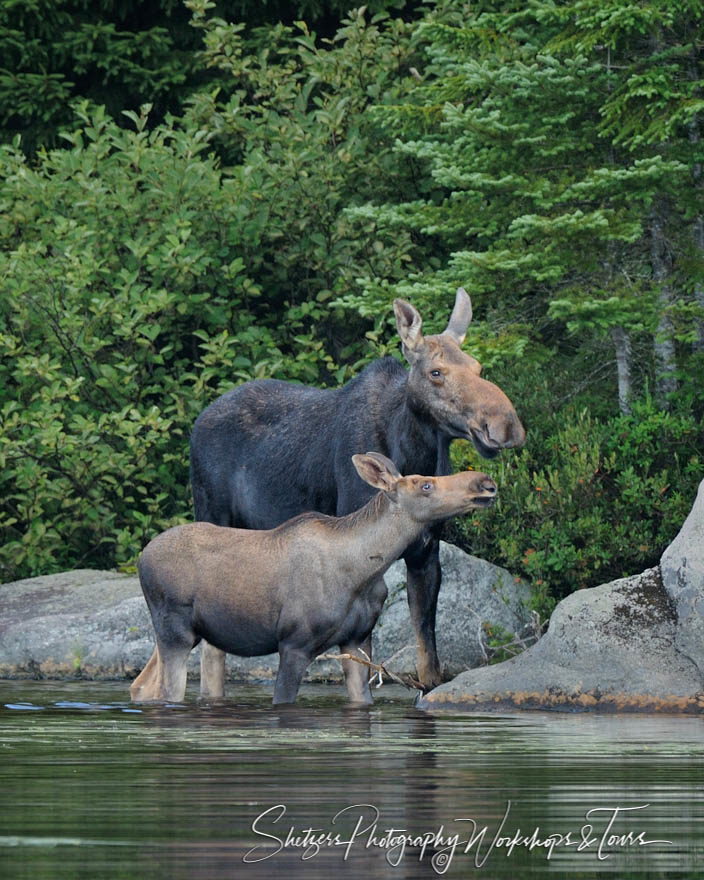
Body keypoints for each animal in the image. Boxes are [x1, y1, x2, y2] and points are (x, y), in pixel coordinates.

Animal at [132, 454, 496, 708]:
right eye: (426, 485)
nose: (486, 482)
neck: (362, 572)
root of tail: (140, 558)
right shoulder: (294, 643)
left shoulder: (357, 640)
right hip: (175, 630)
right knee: (165, 690)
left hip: (188, 633)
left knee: (142, 685)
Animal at [190, 288, 524, 700]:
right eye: (436, 372)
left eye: (478, 367)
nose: (505, 425)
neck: (412, 448)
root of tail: (196, 424)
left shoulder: (426, 552)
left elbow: (428, 664)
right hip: (211, 514)